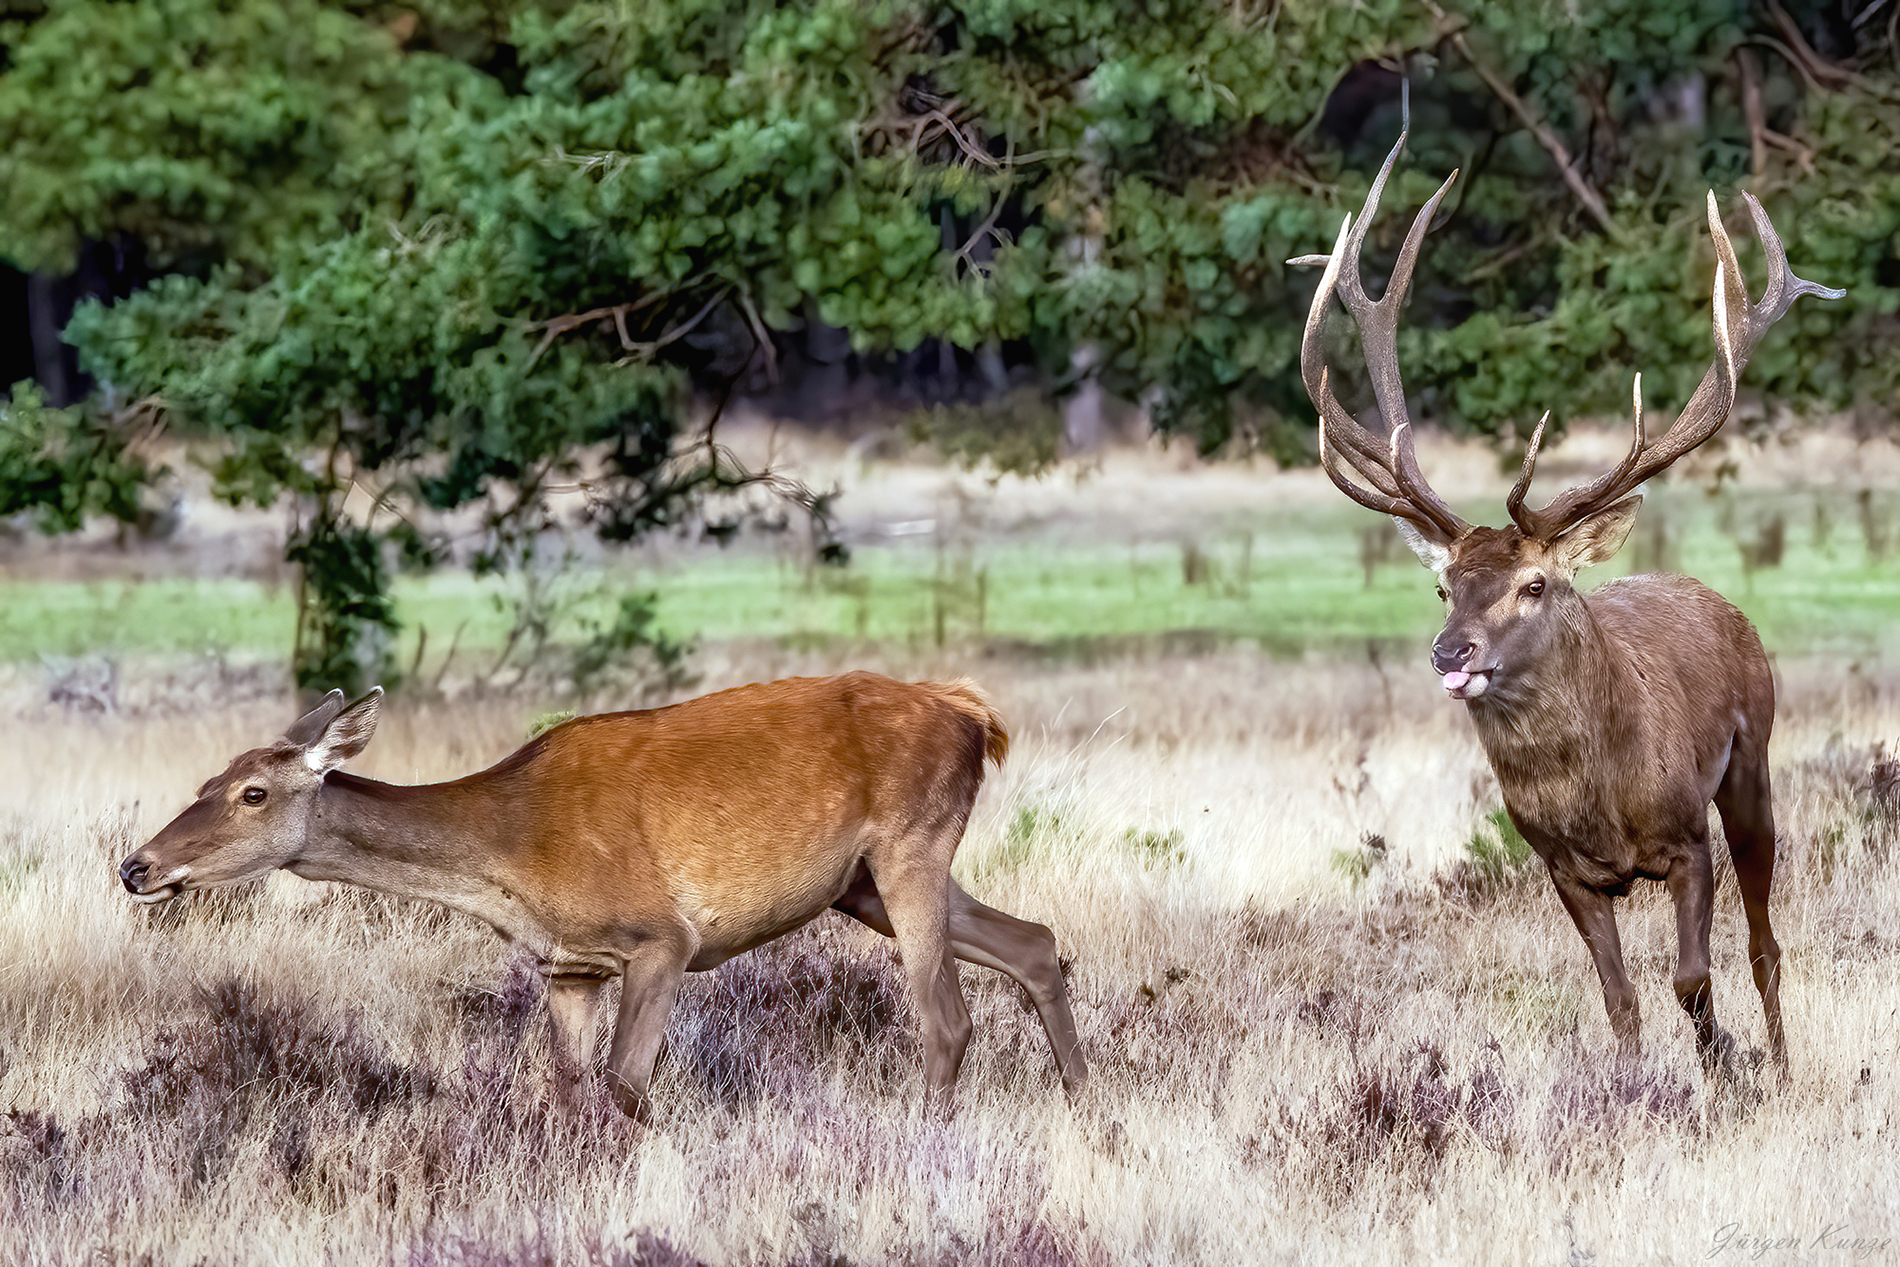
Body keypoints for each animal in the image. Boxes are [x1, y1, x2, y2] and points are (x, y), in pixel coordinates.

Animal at [122, 668, 1086, 1116]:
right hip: (862, 884)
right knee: (1035, 940)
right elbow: (567, 1089)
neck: (513, 864)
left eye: (253, 792)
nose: (138, 865)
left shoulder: (663, 938)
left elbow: (624, 1089)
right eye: (208, 778)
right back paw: (1087, 1102)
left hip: (911, 841)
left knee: (946, 1017)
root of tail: (972, 714)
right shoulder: (570, 965)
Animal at [1292, 113, 1839, 1078]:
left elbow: (1692, 977)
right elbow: (1620, 1000)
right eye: (1443, 586)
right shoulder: (1560, 868)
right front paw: (1636, 1083)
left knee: (1766, 943)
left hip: (1755, 758)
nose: (1452, 651)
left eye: (1534, 582)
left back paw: (1779, 1060)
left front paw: (1726, 1057)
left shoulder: (1684, 836)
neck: (1597, 803)